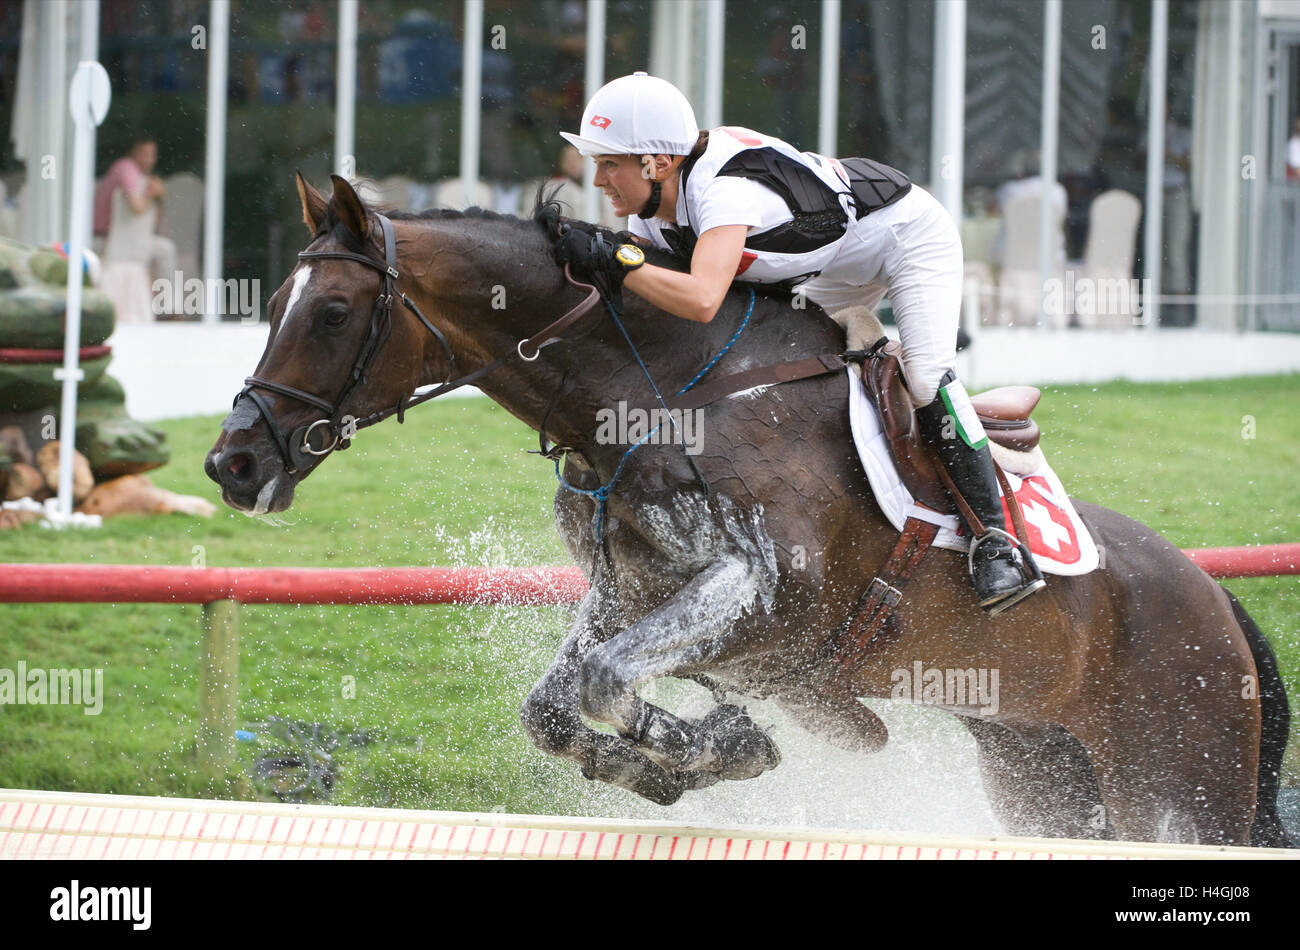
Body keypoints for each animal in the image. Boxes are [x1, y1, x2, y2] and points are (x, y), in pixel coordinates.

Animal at [205, 176, 1289, 847]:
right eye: (276, 304)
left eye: (332, 313)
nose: (232, 460)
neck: (659, 392)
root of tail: (1217, 602)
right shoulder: (636, 589)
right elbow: (557, 702)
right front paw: (670, 760)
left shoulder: (769, 601)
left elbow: (606, 679)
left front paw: (717, 744)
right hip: (1041, 774)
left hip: (1177, 784)